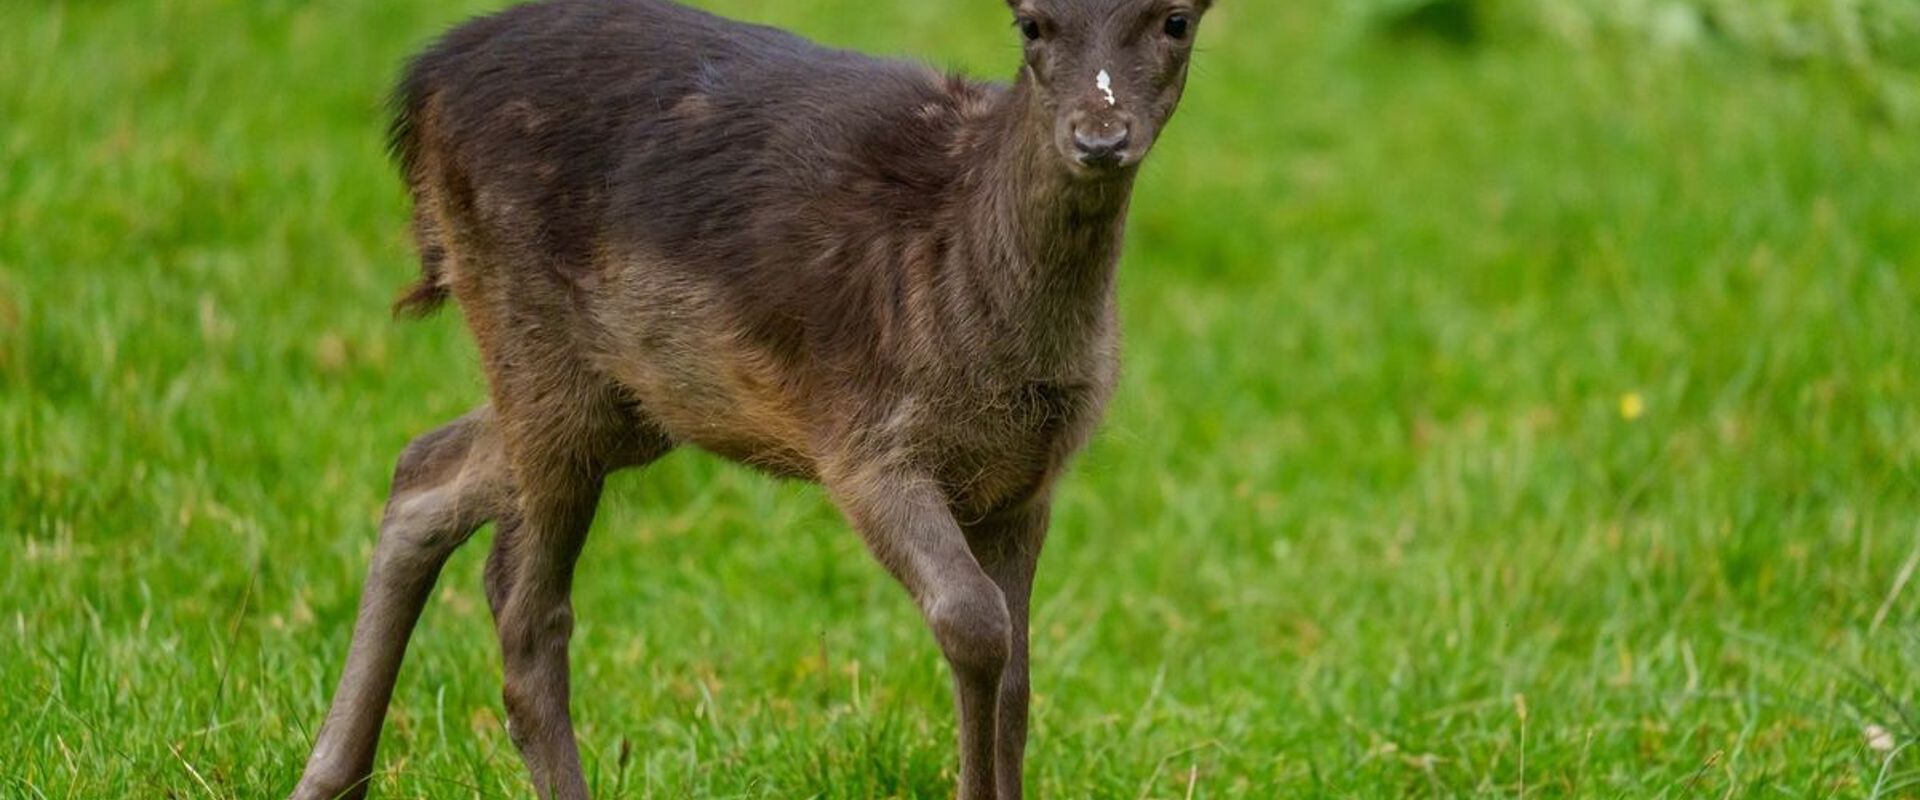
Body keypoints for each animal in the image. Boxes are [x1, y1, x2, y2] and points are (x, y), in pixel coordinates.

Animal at [290, 0, 1212, 797]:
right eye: (1031, 22)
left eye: (1174, 19)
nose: (1099, 136)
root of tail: (421, 86)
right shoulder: (864, 439)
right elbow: (973, 623)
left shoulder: (1026, 483)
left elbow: (1018, 672)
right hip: (534, 338)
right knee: (526, 616)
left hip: (626, 400)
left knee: (424, 470)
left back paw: (327, 778)